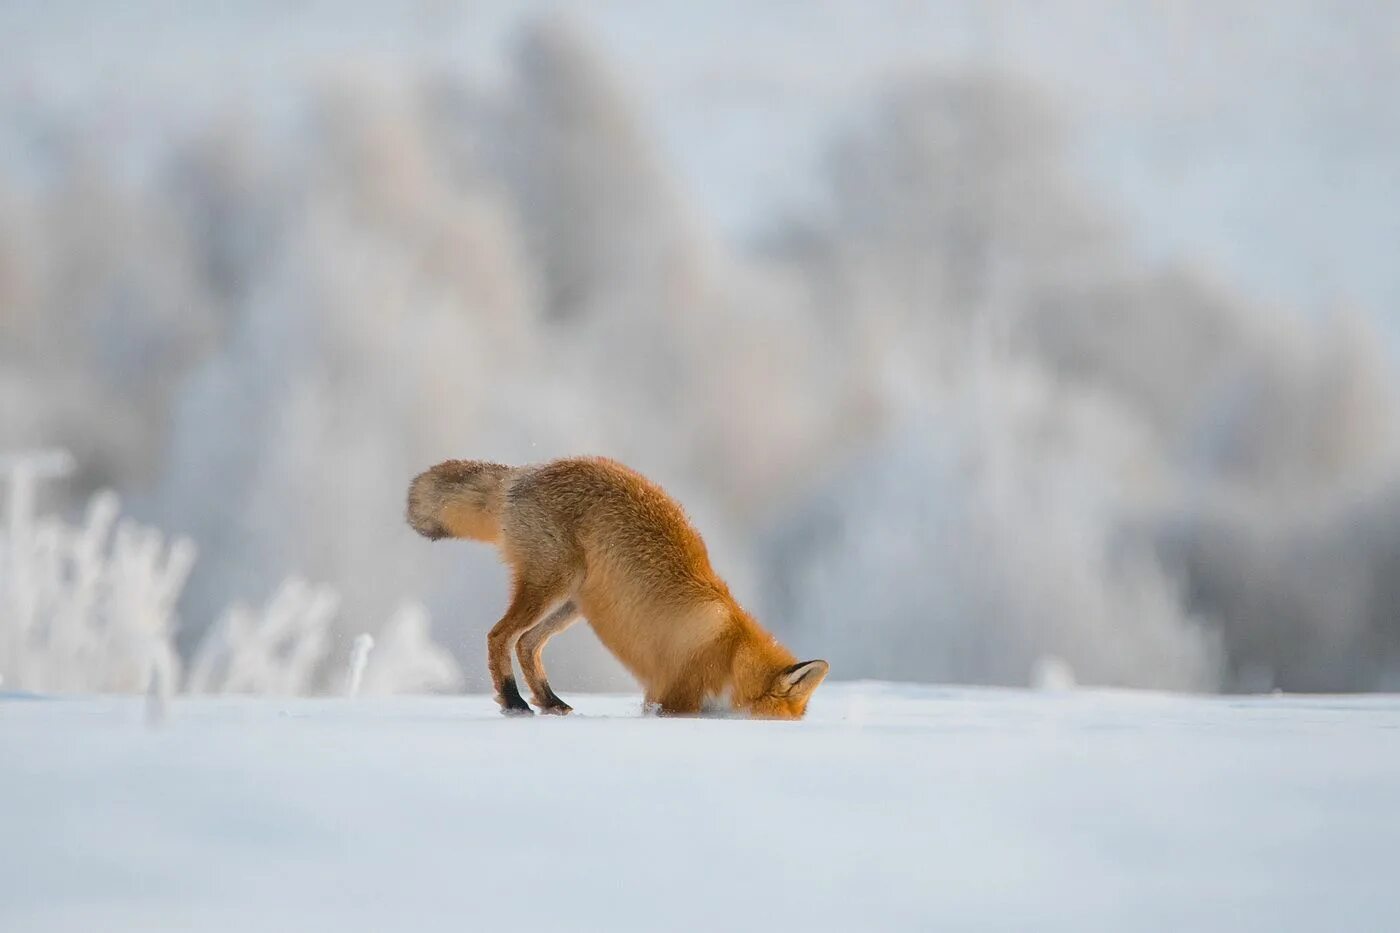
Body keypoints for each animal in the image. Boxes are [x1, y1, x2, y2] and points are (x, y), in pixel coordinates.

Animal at [406, 453, 823, 714]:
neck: (730, 651)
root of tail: (526, 471)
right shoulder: (670, 696)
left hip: (573, 603)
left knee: (526, 644)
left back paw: (549, 702)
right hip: (554, 584)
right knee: (499, 636)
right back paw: (513, 702)